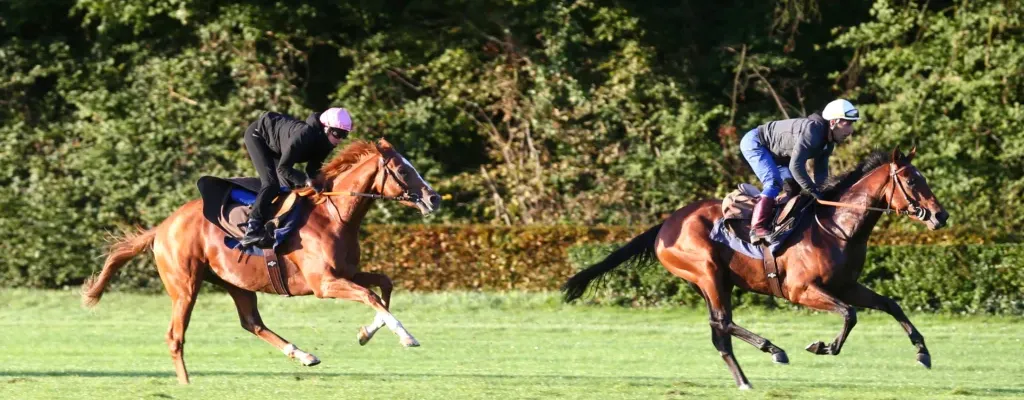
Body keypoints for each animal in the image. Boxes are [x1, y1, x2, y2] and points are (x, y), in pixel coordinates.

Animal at [81, 138, 442, 384]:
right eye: (403, 170)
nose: (434, 198)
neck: (333, 216)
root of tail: (162, 227)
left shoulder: (347, 272)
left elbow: (383, 286)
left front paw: (366, 332)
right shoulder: (325, 284)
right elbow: (371, 295)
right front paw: (406, 337)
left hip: (236, 283)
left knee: (251, 322)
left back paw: (303, 355)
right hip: (185, 286)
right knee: (176, 335)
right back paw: (186, 383)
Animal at [563, 147, 949, 389]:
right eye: (912, 181)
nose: (940, 215)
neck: (836, 226)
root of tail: (664, 226)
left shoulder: (845, 285)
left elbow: (889, 304)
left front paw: (923, 353)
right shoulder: (801, 290)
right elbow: (849, 314)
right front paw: (823, 347)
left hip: (714, 282)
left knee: (718, 331)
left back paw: (744, 380)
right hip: (708, 273)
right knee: (723, 322)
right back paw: (773, 350)